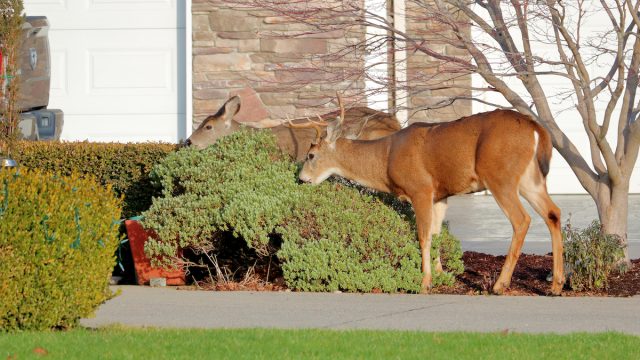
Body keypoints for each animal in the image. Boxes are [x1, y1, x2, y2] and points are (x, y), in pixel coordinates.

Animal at [298, 97, 564, 294]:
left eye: (311, 155)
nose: (301, 178)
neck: (385, 158)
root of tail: (535, 128)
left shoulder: (421, 188)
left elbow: (423, 236)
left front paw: (424, 282)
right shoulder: (440, 195)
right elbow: (436, 234)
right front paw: (441, 275)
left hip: (501, 176)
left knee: (522, 220)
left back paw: (500, 285)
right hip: (531, 179)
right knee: (553, 213)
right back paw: (556, 285)